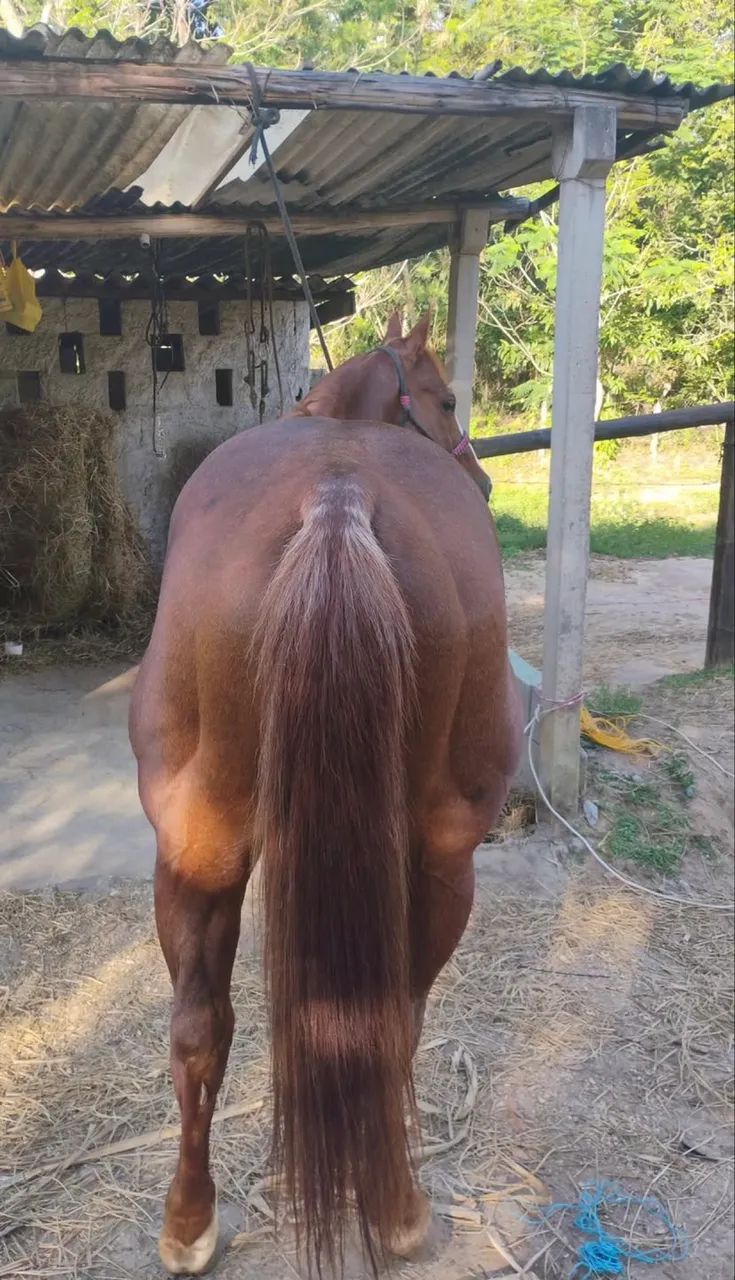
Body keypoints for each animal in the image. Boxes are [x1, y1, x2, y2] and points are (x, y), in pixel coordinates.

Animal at [129, 311, 522, 1277]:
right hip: (441, 858)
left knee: (198, 1028)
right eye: (443, 398)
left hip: (198, 846)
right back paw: (395, 1214)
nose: (483, 478)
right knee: (391, 1017)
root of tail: (336, 496)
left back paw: (189, 1225)